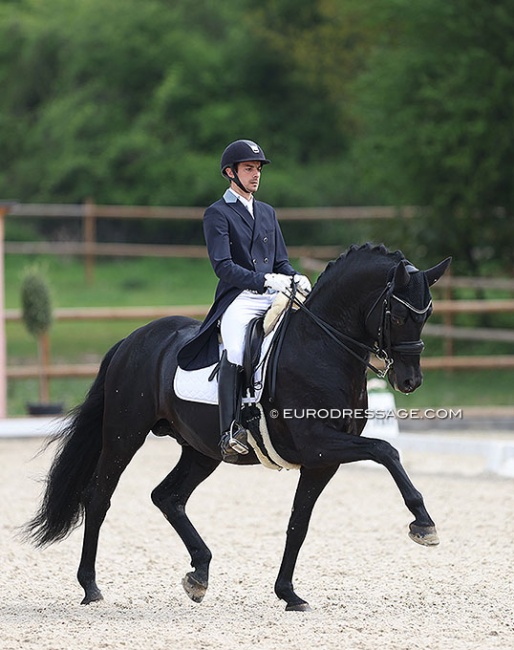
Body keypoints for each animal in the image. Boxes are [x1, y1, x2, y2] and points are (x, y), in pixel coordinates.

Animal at [26, 242, 448, 608]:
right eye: (398, 315)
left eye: (426, 316)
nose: (409, 381)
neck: (321, 346)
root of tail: (132, 340)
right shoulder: (318, 444)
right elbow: (386, 450)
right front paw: (423, 524)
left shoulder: (321, 461)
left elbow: (299, 523)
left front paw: (288, 594)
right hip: (123, 434)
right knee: (99, 497)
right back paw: (90, 587)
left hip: (201, 450)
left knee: (168, 496)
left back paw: (199, 575)